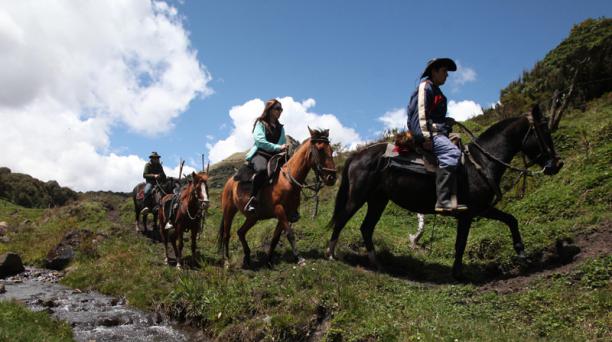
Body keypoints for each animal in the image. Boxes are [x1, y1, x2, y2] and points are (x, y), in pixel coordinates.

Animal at [218, 127, 338, 268]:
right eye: (320, 149)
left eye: (331, 150)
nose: (332, 178)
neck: (287, 180)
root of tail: (230, 181)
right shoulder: (279, 210)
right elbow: (290, 234)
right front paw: (299, 258)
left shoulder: (288, 213)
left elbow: (275, 238)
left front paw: (269, 261)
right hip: (229, 211)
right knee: (226, 235)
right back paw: (226, 261)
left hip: (253, 217)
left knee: (240, 232)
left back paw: (247, 258)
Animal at [326, 105, 564, 280]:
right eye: (544, 131)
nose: (556, 164)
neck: (481, 162)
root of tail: (358, 155)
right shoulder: (470, 213)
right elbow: (461, 244)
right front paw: (458, 275)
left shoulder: (480, 209)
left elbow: (511, 220)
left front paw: (522, 253)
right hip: (358, 197)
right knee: (342, 219)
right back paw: (330, 255)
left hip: (378, 200)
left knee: (366, 228)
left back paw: (378, 264)